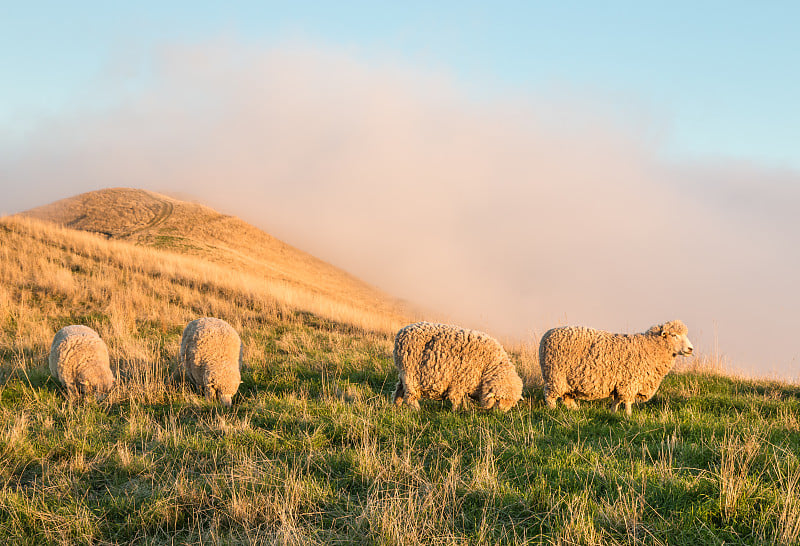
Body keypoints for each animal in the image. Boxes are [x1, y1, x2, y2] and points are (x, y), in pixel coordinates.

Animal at [392, 320, 524, 410]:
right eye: (498, 400)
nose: (500, 413)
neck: (488, 366)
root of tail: (401, 332)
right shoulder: (459, 381)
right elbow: (456, 398)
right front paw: (456, 411)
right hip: (410, 374)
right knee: (410, 396)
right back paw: (416, 410)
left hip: (403, 374)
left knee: (399, 389)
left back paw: (396, 406)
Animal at [536, 316, 692, 414]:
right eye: (674, 335)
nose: (690, 349)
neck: (651, 347)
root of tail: (546, 336)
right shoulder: (630, 382)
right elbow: (627, 401)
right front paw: (629, 416)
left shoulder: (620, 383)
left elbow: (616, 401)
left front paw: (613, 414)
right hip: (555, 376)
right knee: (550, 396)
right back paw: (553, 411)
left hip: (567, 381)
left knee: (567, 398)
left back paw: (576, 411)